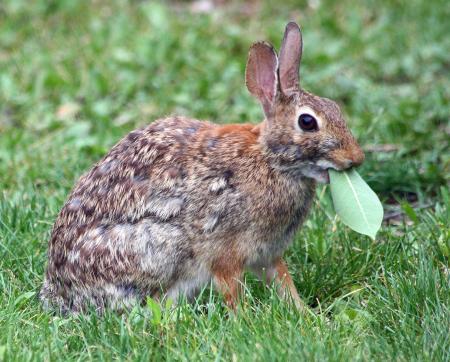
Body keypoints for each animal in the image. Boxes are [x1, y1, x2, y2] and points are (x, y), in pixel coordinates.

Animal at [40, 21, 366, 314]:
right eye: (307, 122)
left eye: (335, 107)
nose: (356, 158)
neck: (272, 162)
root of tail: (58, 291)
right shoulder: (225, 252)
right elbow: (232, 290)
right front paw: (244, 322)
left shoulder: (268, 254)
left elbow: (284, 283)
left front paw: (306, 315)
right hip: (158, 247)